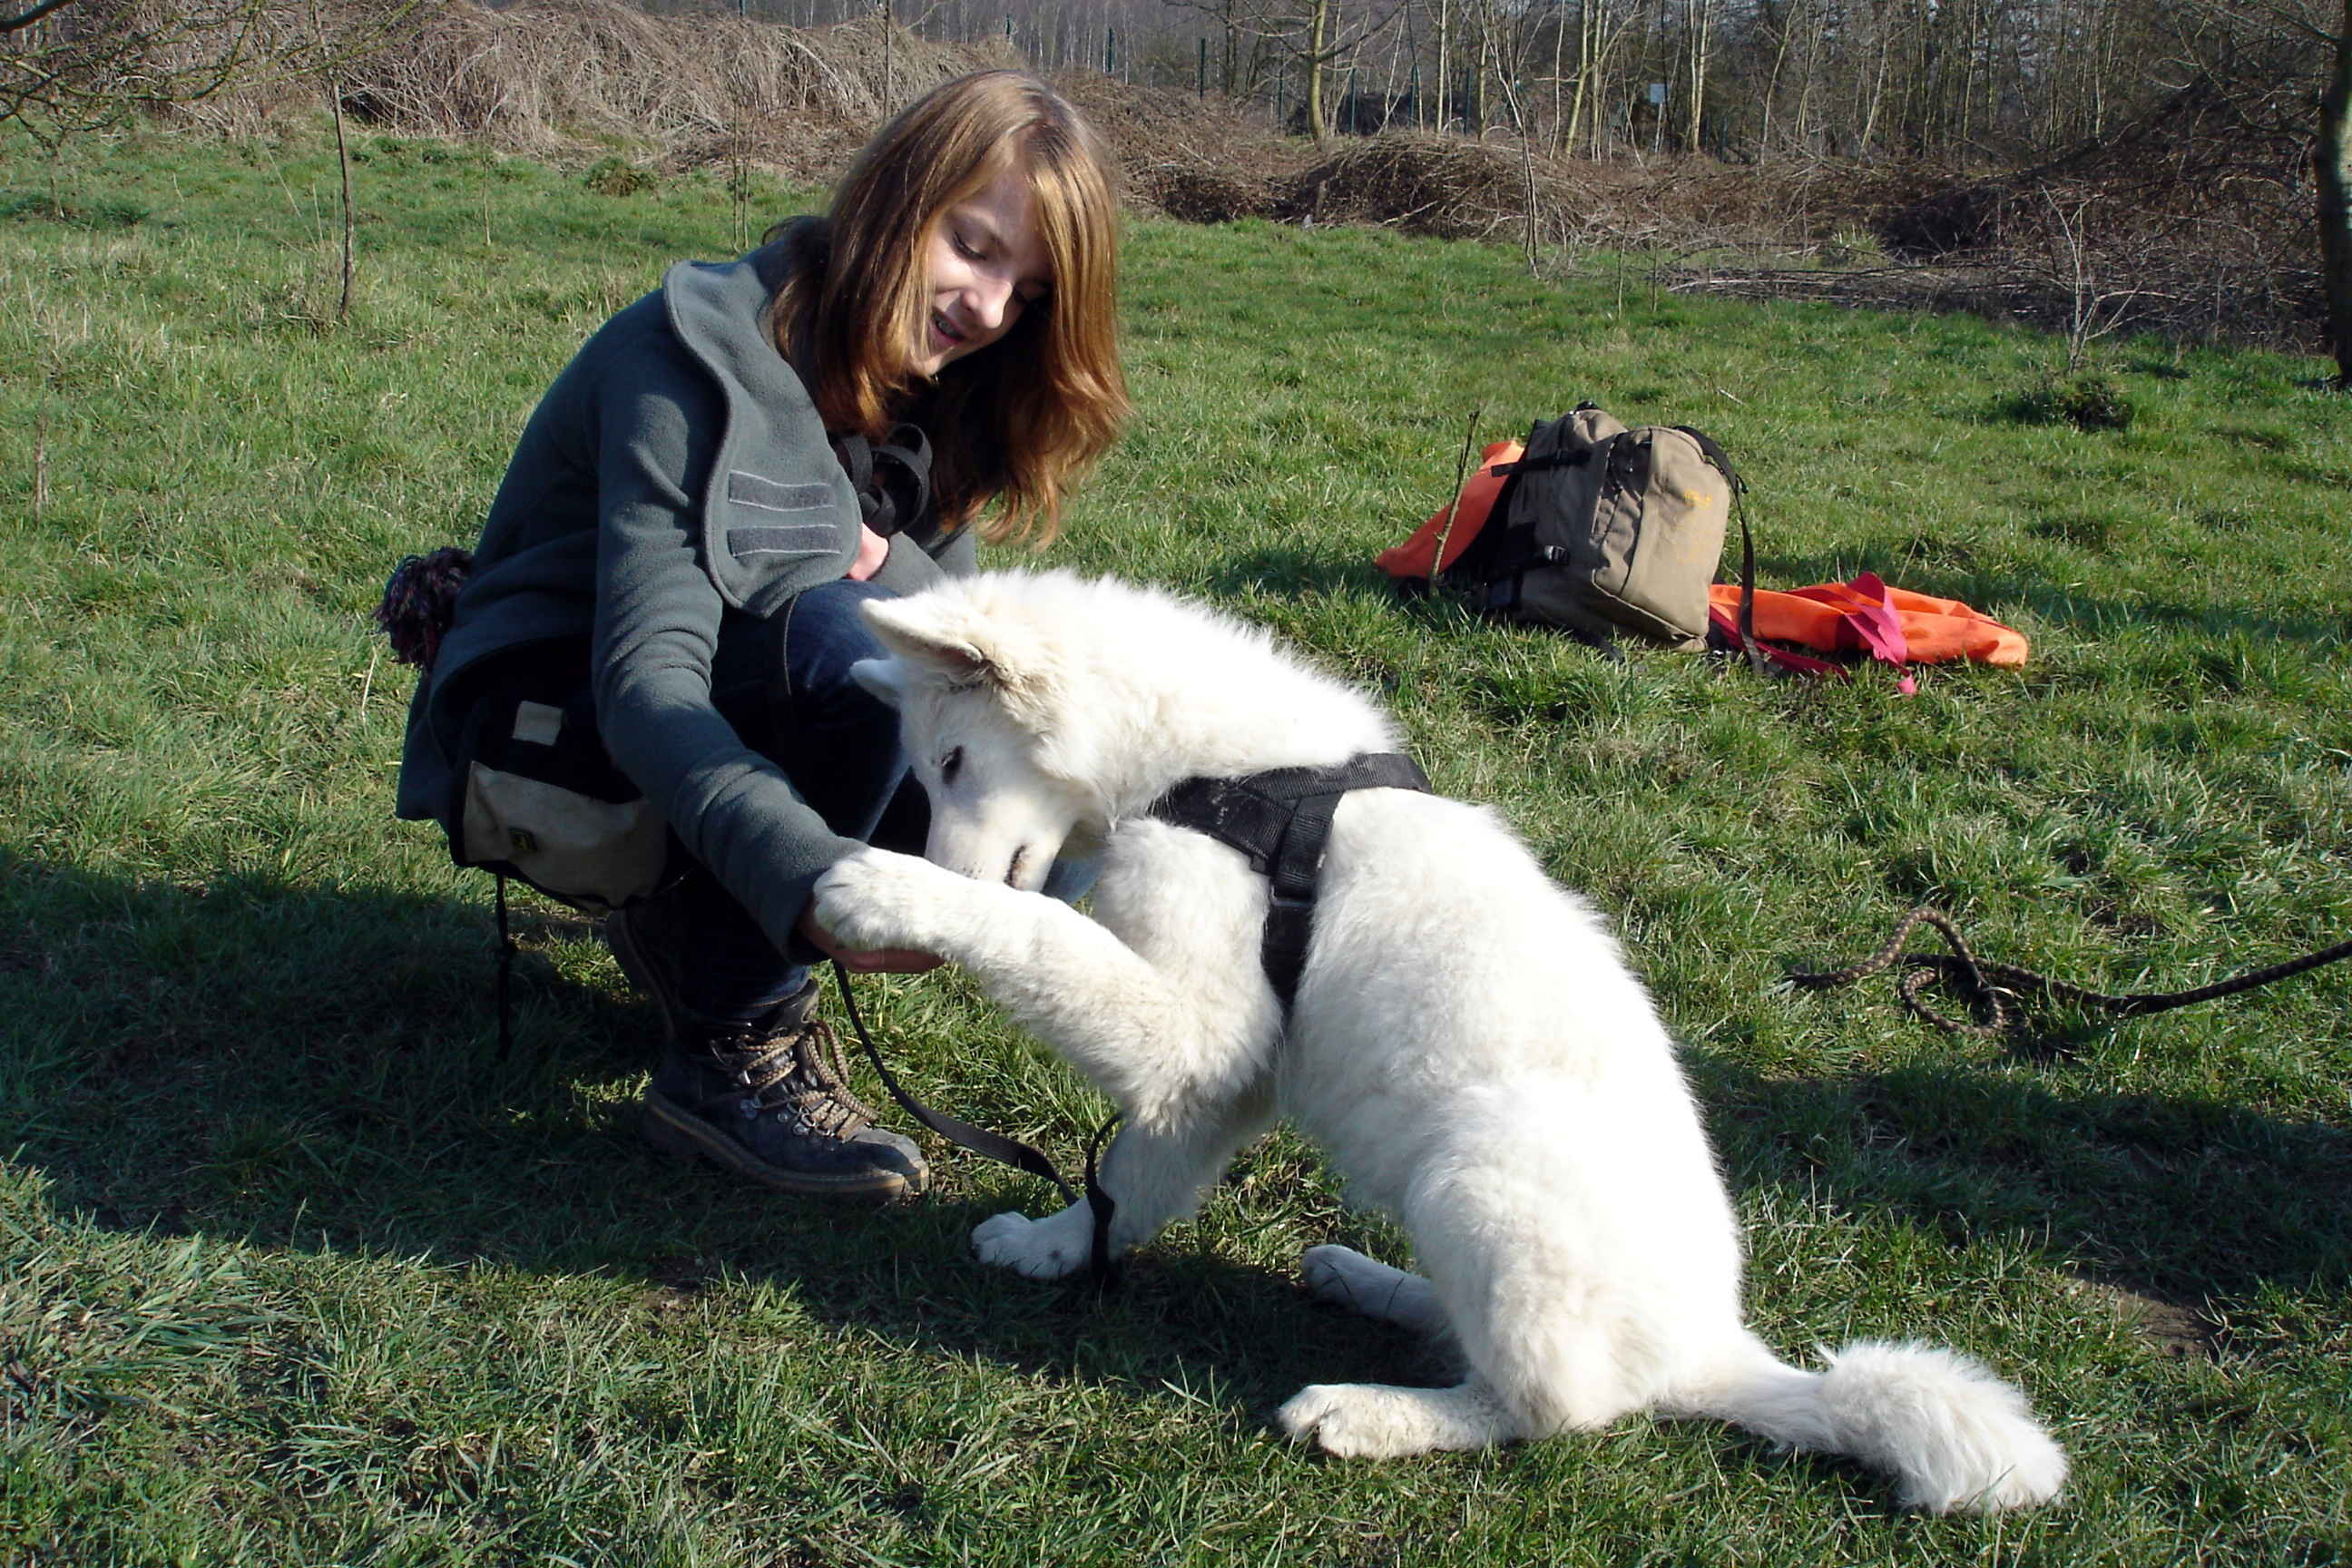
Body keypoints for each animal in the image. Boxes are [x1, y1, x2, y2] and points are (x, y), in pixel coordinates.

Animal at [810, 569, 2067, 1513]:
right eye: (923, 771)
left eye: (954, 764)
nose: (939, 869)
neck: (1207, 767)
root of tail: (1713, 1350)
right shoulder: (1223, 1076)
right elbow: (1133, 1180)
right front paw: (1061, 1247)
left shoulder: (1195, 1033)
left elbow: (1040, 934)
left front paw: (891, 895)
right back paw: (1370, 1284)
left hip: (1482, 1167)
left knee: (1552, 1411)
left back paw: (1369, 1413)